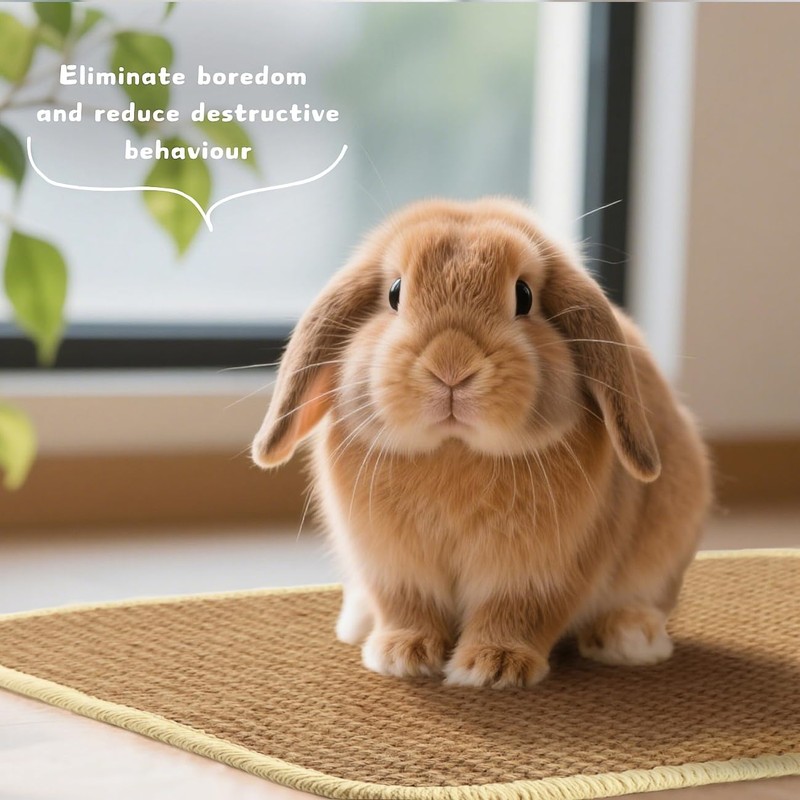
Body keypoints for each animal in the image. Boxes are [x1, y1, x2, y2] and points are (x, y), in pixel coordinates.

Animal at [251, 198, 712, 689]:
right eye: (395, 293)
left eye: (524, 296)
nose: (452, 365)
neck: (455, 450)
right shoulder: (393, 567)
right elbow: (407, 607)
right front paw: (402, 655)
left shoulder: (543, 572)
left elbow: (517, 613)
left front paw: (493, 667)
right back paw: (359, 623)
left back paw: (629, 637)